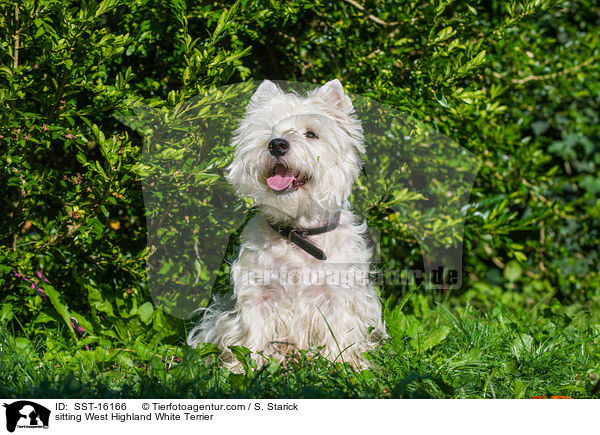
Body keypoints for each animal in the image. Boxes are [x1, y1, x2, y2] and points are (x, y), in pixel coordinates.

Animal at [188, 79, 384, 372]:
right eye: (269, 131)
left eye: (311, 134)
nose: (277, 144)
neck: (298, 234)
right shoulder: (258, 294)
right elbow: (254, 334)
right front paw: (246, 367)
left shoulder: (337, 295)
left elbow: (340, 332)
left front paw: (340, 364)